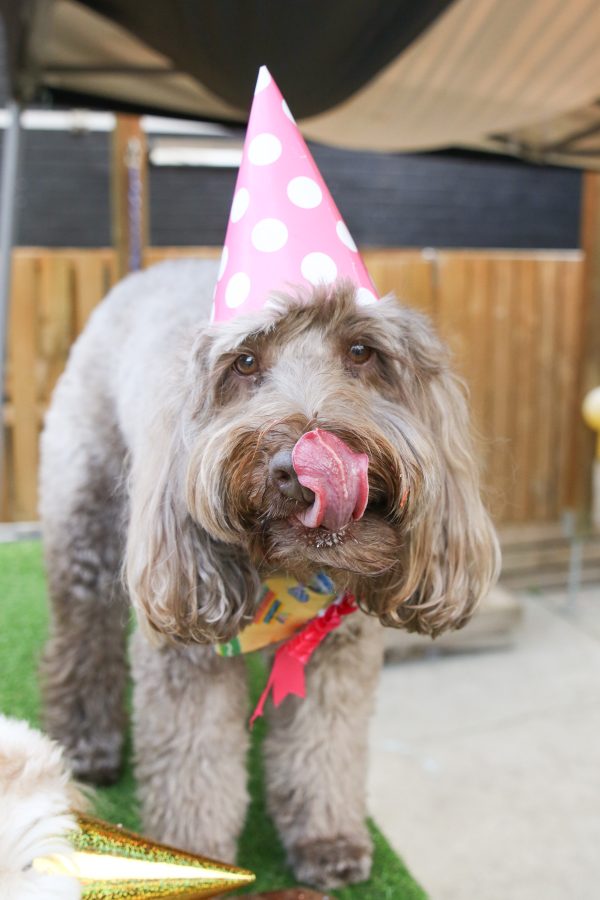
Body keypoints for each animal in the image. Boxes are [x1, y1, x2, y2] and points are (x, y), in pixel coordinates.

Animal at [39, 256, 502, 888]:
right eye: (245, 362)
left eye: (361, 351)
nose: (300, 469)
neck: (292, 571)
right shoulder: (188, 654)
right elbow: (194, 765)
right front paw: (190, 857)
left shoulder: (336, 649)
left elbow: (324, 748)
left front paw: (327, 839)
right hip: (84, 527)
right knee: (82, 638)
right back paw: (87, 743)